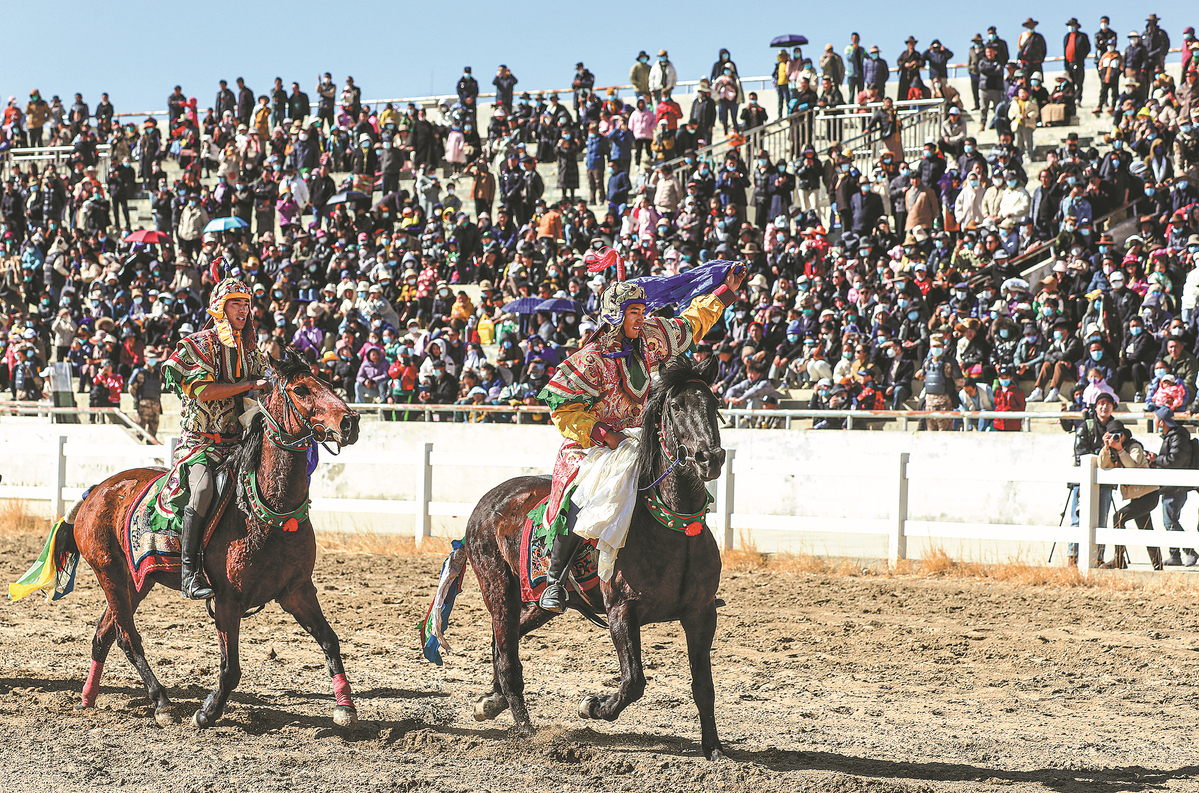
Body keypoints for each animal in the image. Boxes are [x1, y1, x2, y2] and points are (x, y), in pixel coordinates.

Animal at [44, 345, 359, 729]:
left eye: (328, 383)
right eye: (301, 389)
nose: (350, 422)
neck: (265, 512)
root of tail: (95, 492)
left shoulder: (297, 591)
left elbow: (330, 640)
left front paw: (345, 706)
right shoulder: (227, 601)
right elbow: (231, 668)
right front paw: (208, 711)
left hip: (136, 581)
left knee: (104, 634)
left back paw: (88, 698)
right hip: (110, 575)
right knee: (127, 637)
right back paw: (162, 702)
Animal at [462, 355, 724, 758]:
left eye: (713, 403)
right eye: (677, 406)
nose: (709, 458)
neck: (672, 530)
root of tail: (489, 500)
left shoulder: (701, 614)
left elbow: (703, 687)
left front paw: (714, 749)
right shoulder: (621, 612)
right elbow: (634, 681)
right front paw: (594, 706)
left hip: (539, 603)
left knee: (505, 639)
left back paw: (493, 700)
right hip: (497, 588)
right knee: (506, 652)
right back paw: (524, 727)